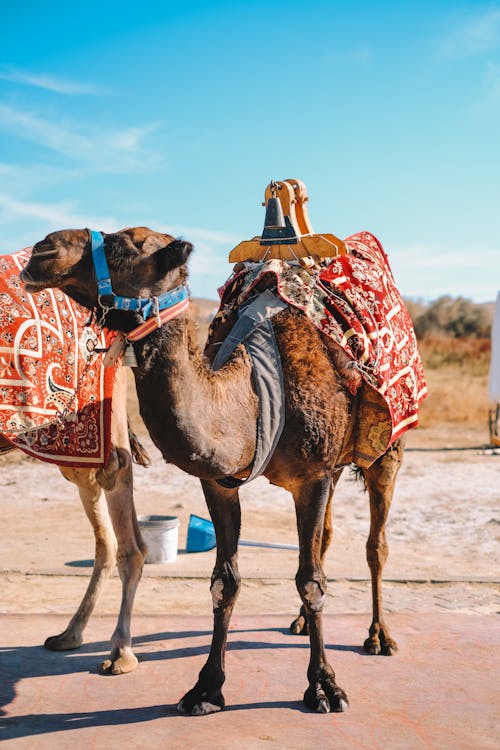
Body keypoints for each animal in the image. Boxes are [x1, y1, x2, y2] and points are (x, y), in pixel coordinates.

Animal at [21, 228, 408, 716]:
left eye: (124, 244)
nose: (42, 251)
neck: (256, 396)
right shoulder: (220, 482)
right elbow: (225, 581)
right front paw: (206, 688)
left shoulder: (313, 476)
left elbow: (310, 580)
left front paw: (323, 687)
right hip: (336, 468)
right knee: (326, 539)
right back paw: (301, 623)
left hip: (385, 452)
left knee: (375, 545)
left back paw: (379, 636)